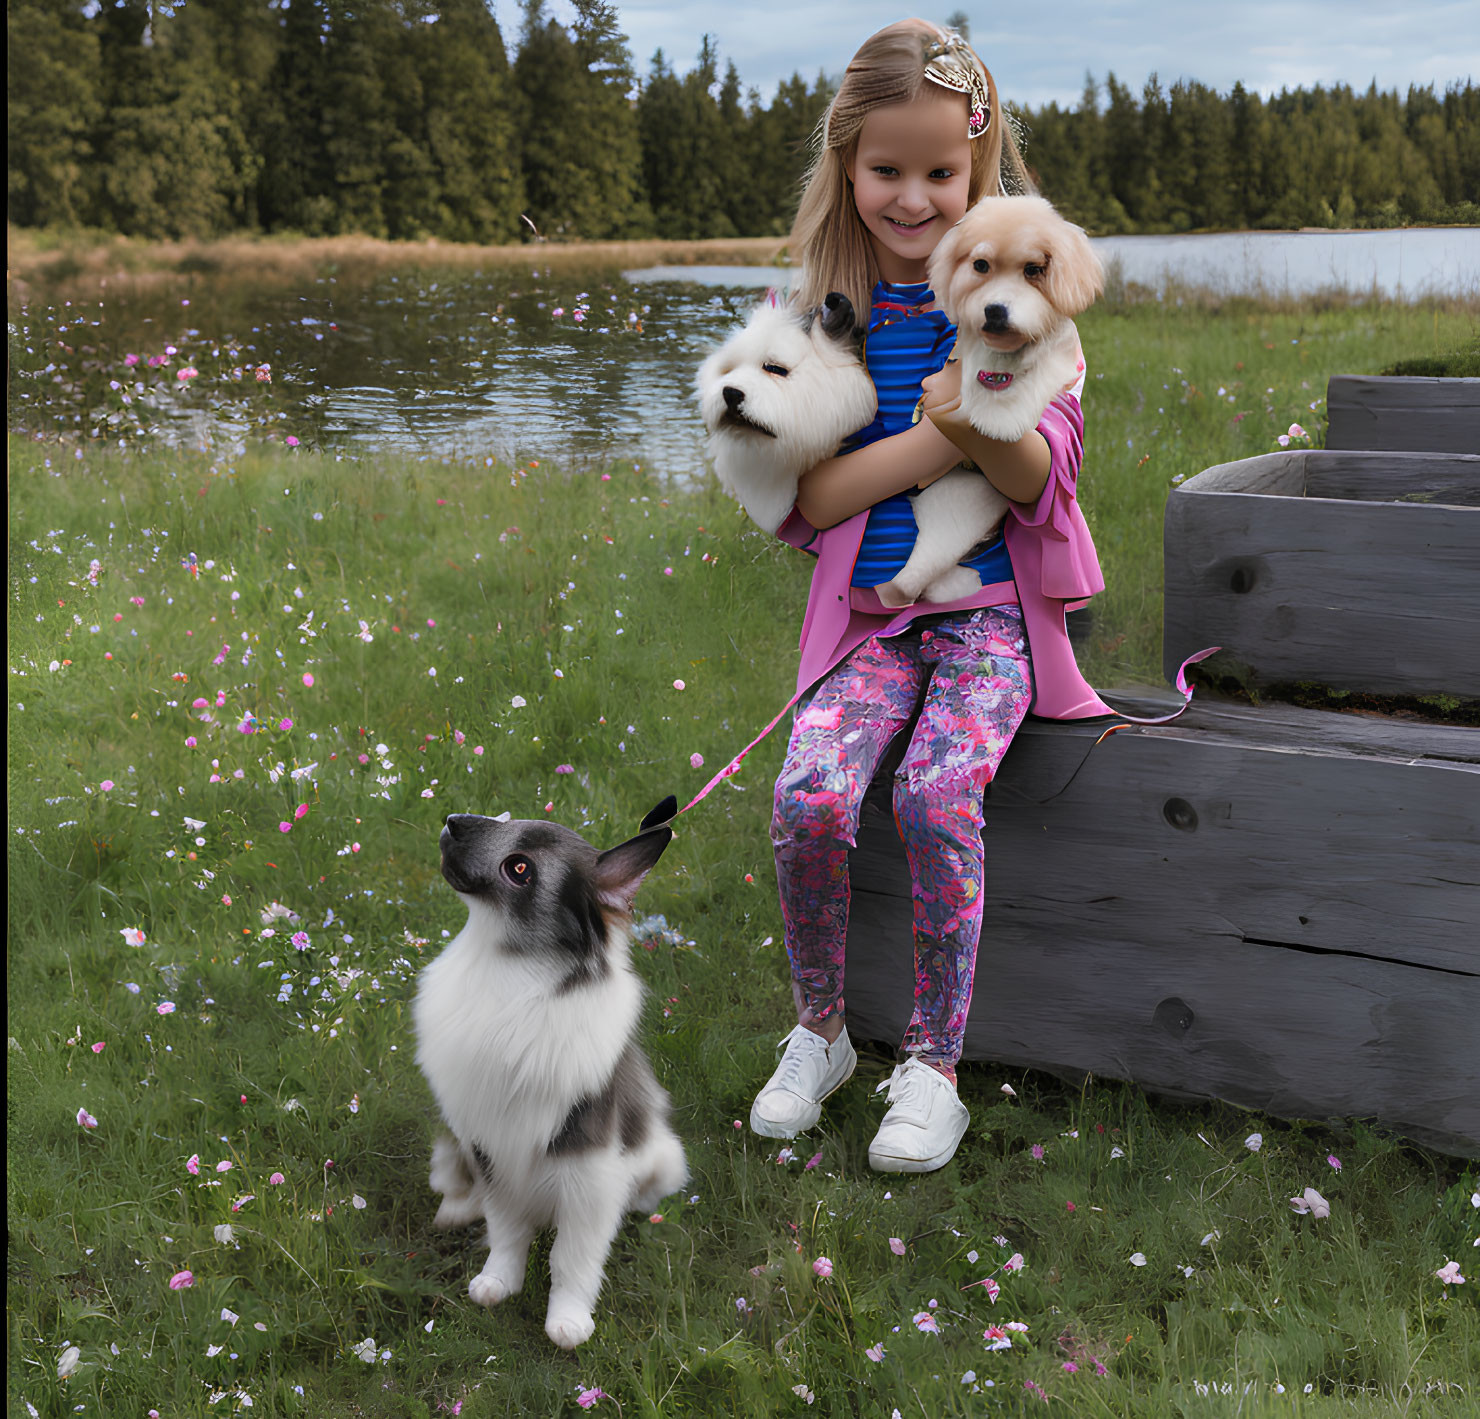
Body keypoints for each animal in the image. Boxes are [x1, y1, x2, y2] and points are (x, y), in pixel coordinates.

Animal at [411, 793, 686, 1349]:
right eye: (504, 819)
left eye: (520, 869)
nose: (453, 822)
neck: (506, 971)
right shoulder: (488, 1146)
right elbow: (506, 1229)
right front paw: (498, 1281)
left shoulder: (588, 1163)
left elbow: (572, 1256)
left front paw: (568, 1320)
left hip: (662, 1160)